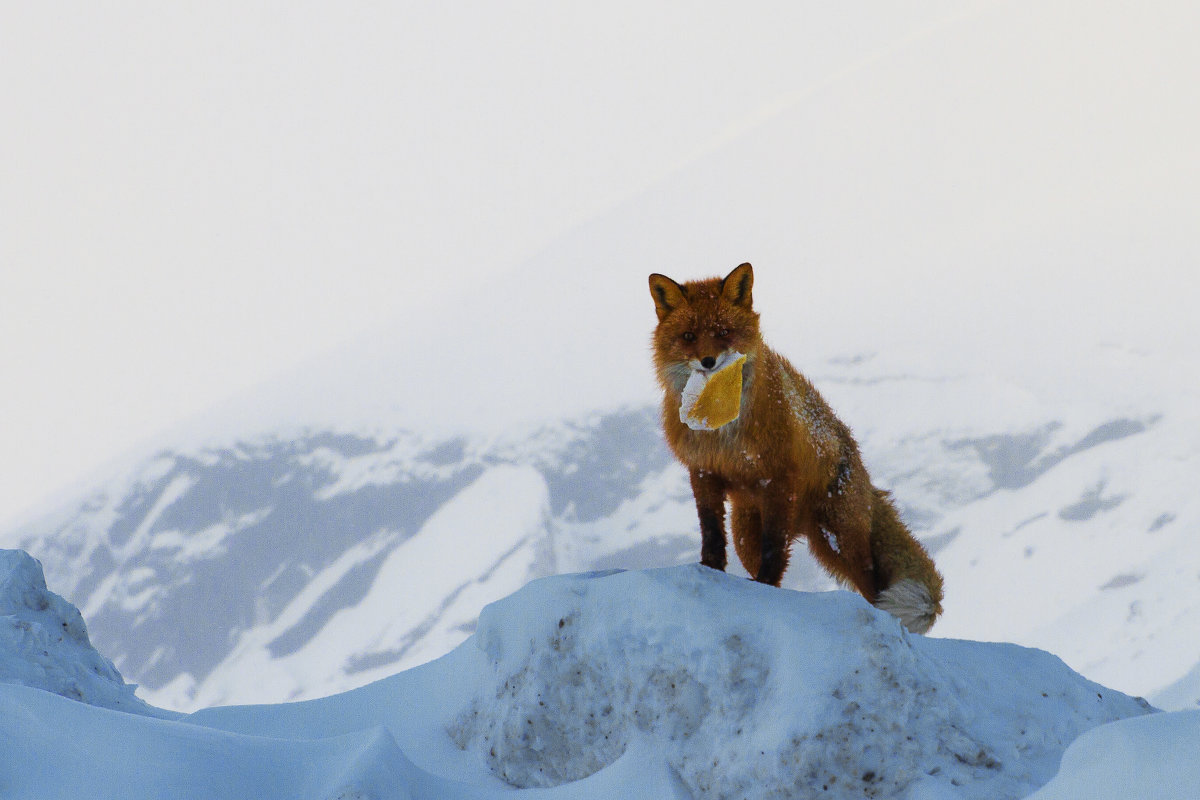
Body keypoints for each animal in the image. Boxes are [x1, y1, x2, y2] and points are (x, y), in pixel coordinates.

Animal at [648, 266, 945, 633]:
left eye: (724, 332)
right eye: (689, 336)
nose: (708, 361)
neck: (723, 428)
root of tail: (863, 468)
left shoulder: (780, 478)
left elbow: (775, 549)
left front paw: (764, 592)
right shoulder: (703, 471)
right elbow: (712, 534)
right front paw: (709, 571)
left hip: (838, 541)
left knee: (872, 585)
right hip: (747, 535)